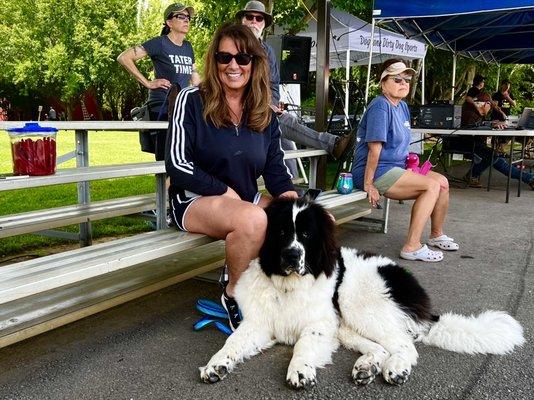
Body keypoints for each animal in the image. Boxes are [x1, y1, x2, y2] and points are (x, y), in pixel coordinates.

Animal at [201, 198, 528, 390]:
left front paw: (301, 370)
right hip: (346, 325)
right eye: (281, 233)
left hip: (358, 304)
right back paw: (366, 367)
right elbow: (233, 341)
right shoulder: (258, 324)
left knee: (405, 345)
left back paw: (396, 368)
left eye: (306, 234)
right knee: (381, 347)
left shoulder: (320, 326)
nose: (292, 256)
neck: (288, 285)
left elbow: (303, 346)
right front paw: (216, 364)